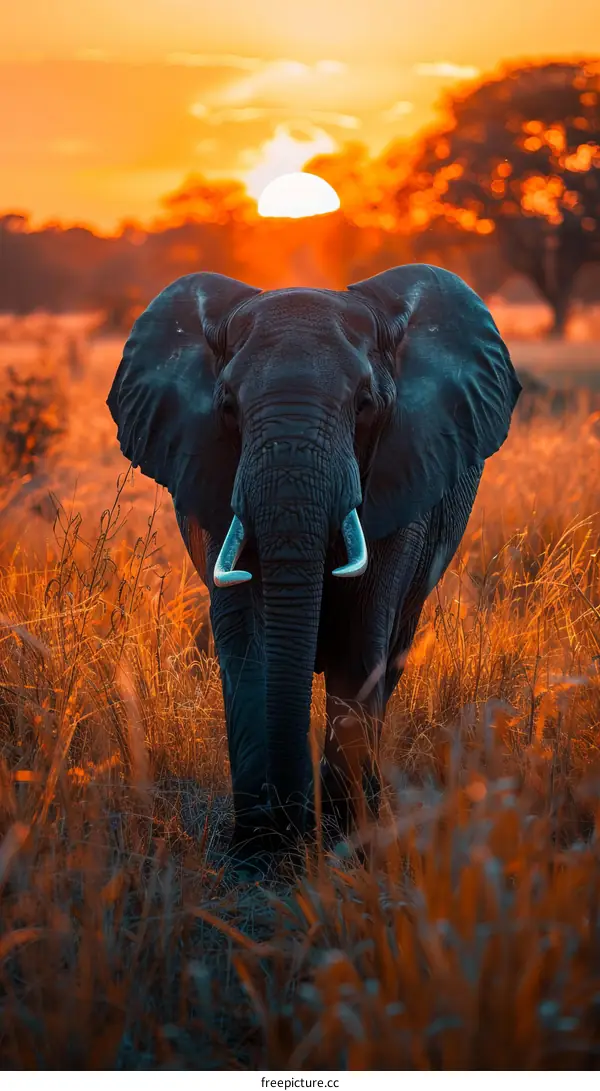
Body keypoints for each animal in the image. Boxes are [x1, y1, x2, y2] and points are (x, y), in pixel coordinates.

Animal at [106, 263, 521, 859]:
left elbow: (362, 640)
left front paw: (345, 849)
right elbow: (249, 638)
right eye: (227, 406)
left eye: (365, 404)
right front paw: (261, 854)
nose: (293, 825)